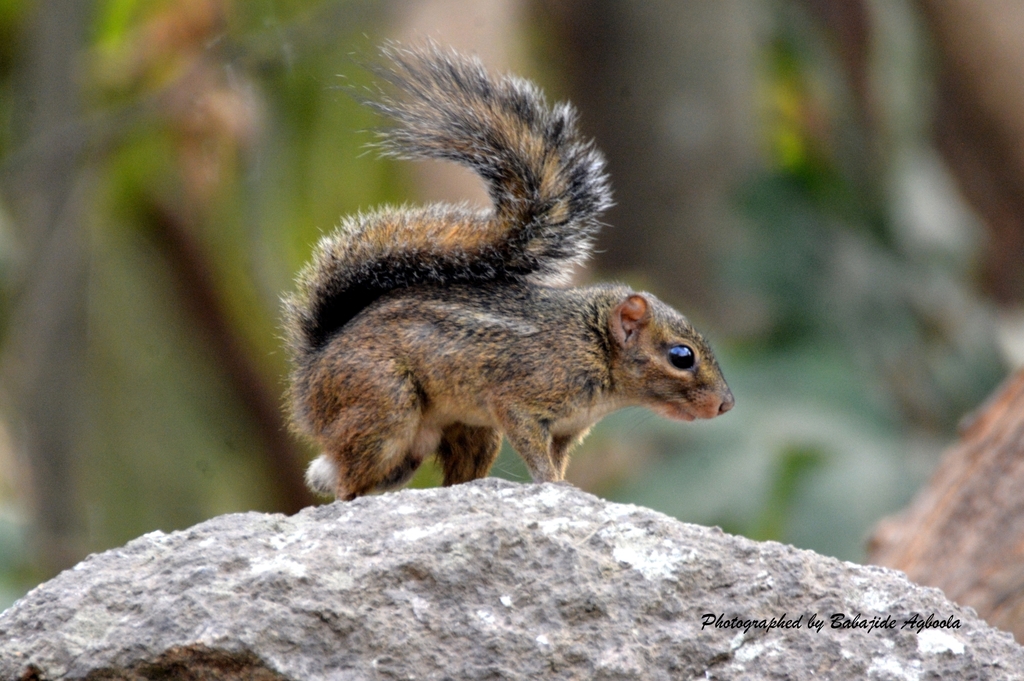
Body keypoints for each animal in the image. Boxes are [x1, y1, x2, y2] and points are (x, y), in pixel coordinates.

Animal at [284, 43, 734, 501]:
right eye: (682, 356)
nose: (726, 405)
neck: (593, 348)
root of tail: (311, 372)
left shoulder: (567, 428)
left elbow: (556, 455)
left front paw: (565, 483)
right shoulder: (523, 400)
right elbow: (535, 452)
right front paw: (555, 485)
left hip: (461, 436)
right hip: (383, 406)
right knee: (345, 483)